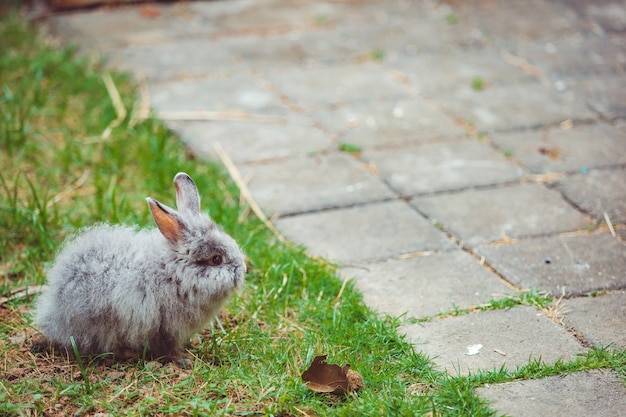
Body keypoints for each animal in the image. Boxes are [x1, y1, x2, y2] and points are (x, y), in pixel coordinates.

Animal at [33, 171, 245, 364]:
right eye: (216, 259)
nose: (242, 270)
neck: (173, 274)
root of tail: (52, 311)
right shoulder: (165, 327)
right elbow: (168, 348)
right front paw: (184, 360)